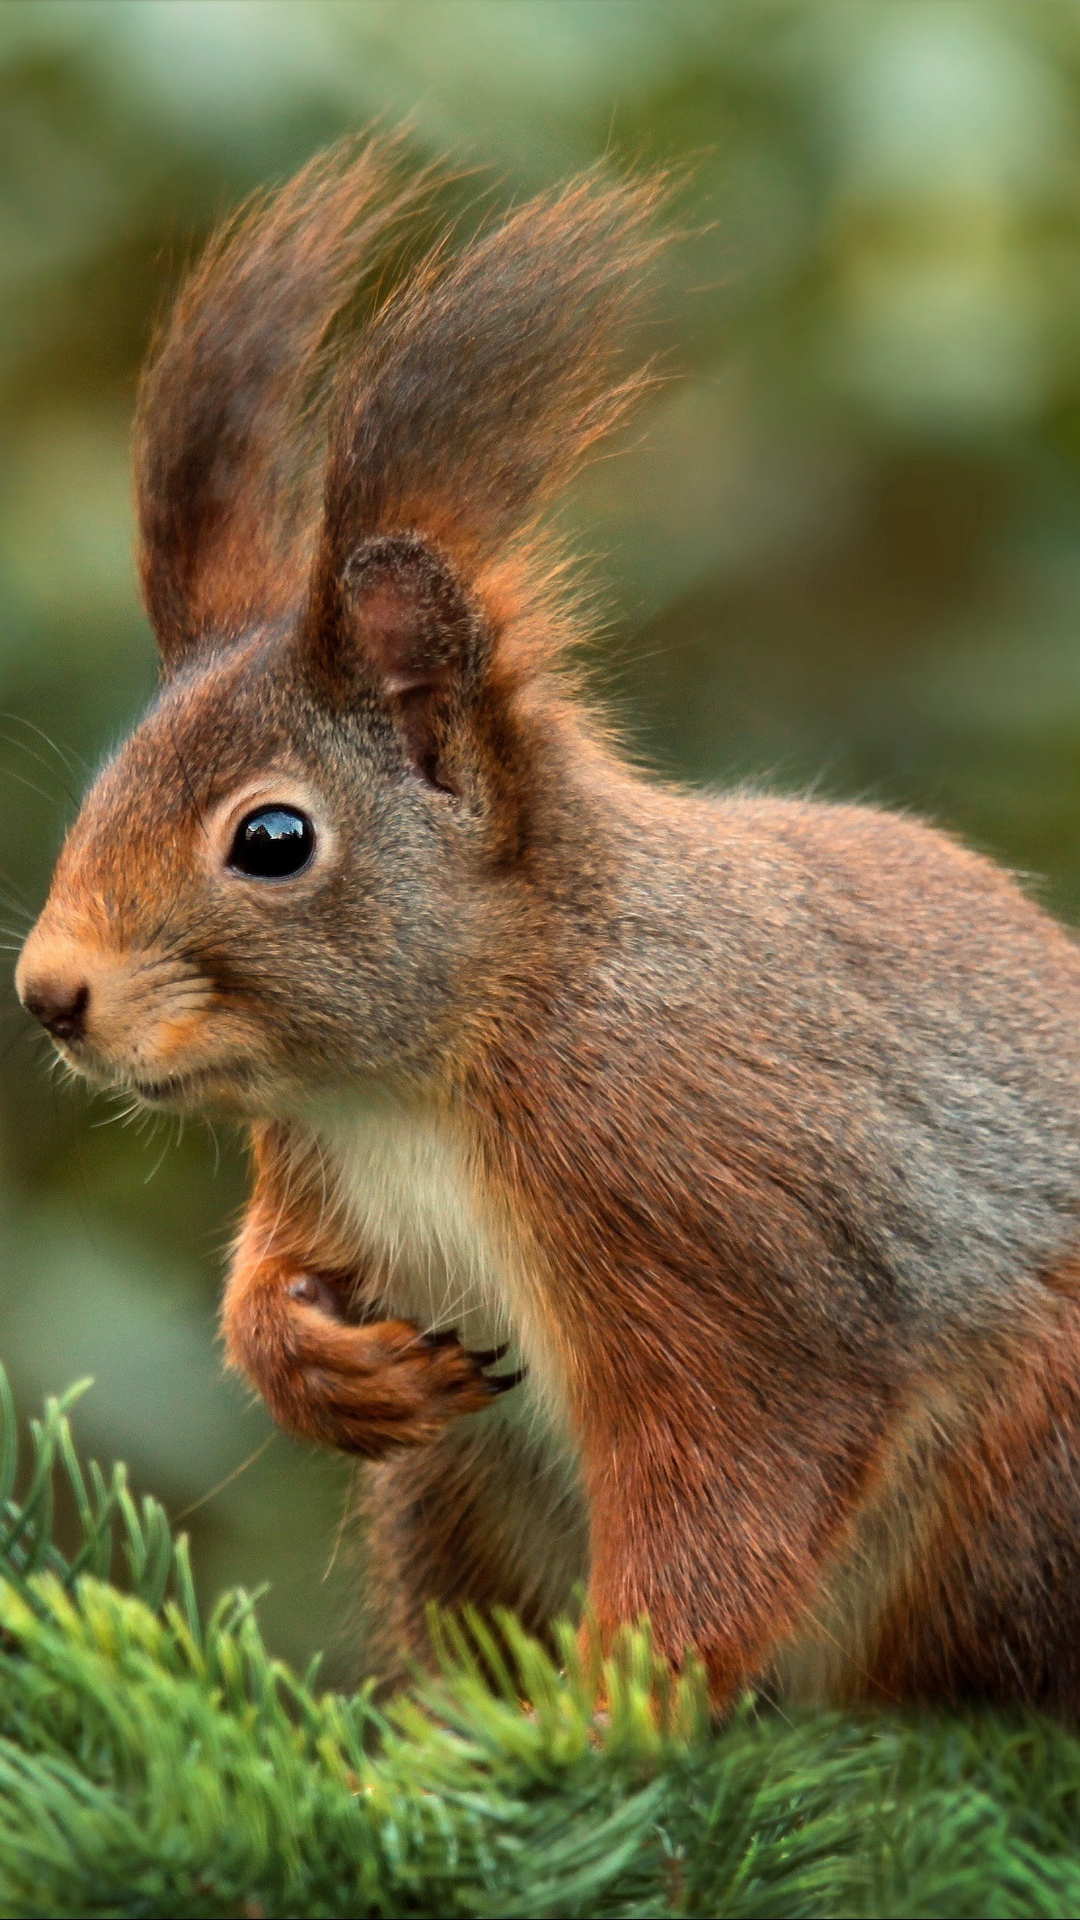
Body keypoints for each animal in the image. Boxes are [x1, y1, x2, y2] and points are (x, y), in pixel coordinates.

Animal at [16, 139, 1080, 1712]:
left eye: (272, 841)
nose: (50, 995)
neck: (426, 1076)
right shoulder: (313, 1165)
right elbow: (266, 1277)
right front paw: (309, 1361)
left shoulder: (702, 1202)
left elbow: (734, 1484)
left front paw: (605, 1722)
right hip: (452, 1493)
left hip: (1023, 1466)